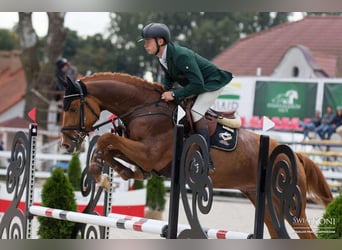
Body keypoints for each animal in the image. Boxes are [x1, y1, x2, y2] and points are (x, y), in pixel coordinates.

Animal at [60, 72, 332, 238]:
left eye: (72, 108)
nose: (65, 145)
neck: (144, 110)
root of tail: (295, 155)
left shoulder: (149, 153)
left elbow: (107, 140)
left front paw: (101, 174)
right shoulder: (139, 152)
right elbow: (110, 147)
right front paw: (123, 172)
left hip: (289, 207)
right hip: (262, 200)